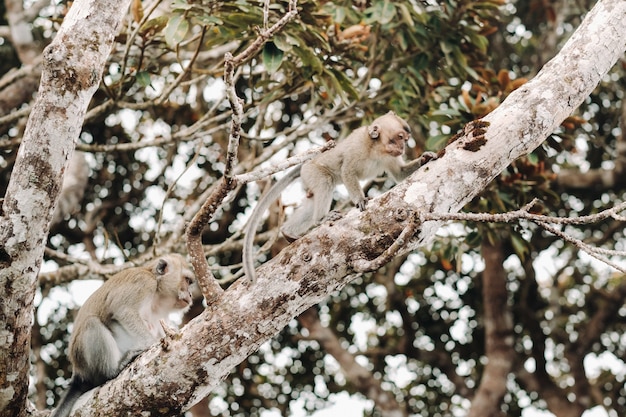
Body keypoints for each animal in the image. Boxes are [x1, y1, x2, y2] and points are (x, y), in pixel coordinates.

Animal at [50, 254, 193, 416]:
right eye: (187, 280)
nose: (190, 294)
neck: (157, 293)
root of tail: (78, 373)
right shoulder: (144, 282)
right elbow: (123, 310)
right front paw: (152, 344)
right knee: (91, 323)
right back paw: (113, 370)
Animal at [241, 110, 436, 282]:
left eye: (405, 140)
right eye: (400, 138)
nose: (403, 147)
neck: (376, 148)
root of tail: (307, 162)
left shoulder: (389, 156)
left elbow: (400, 173)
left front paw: (425, 158)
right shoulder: (358, 147)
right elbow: (347, 170)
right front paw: (360, 200)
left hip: (308, 177)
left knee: (312, 200)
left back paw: (288, 232)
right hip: (313, 171)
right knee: (325, 182)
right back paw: (320, 219)